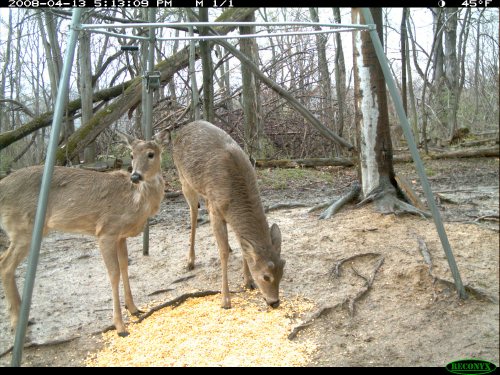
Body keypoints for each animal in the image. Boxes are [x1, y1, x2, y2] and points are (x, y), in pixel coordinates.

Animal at [0, 131, 168, 338]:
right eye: (131, 155)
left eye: (151, 154)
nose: (135, 176)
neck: (135, 200)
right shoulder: (106, 231)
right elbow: (113, 274)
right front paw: (120, 327)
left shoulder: (120, 236)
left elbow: (124, 267)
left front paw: (134, 308)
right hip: (23, 228)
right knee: (5, 265)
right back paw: (17, 323)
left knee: (5, 263)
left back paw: (24, 319)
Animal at [173, 121, 286, 312]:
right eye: (265, 276)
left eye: (282, 271)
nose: (274, 302)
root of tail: (183, 128)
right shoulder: (216, 210)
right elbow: (223, 252)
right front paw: (225, 300)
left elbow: (243, 246)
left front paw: (248, 281)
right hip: (184, 179)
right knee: (193, 212)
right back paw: (190, 261)